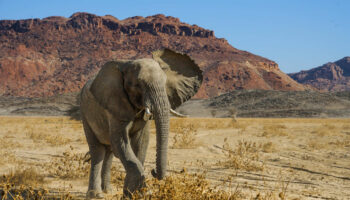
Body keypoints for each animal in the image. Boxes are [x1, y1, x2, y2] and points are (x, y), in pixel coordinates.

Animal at [79, 48, 202, 198]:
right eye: (137, 85)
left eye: (165, 83)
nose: (154, 171)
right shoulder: (115, 104)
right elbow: (120, 142)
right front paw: (139, 192)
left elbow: (141, 141)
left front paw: (133, 194)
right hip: (85, 113)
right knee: (98, 151)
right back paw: (96, 195)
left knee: (109, 152)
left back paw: (108, 191)